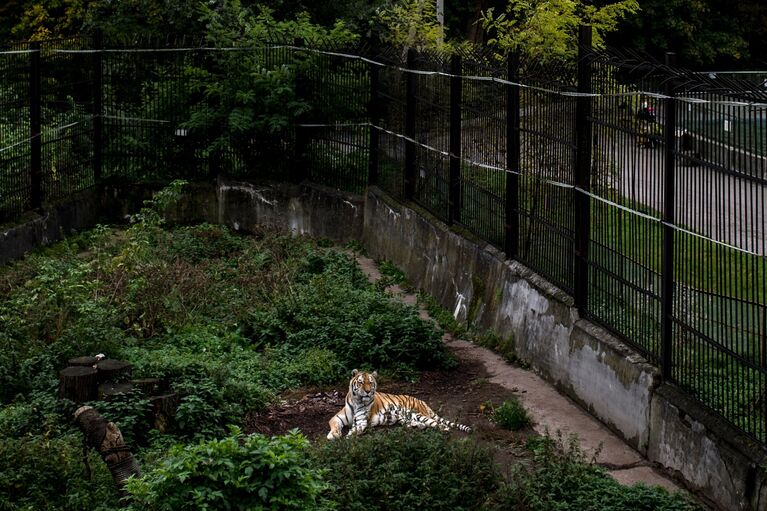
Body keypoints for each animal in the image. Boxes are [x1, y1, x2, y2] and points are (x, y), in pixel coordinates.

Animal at [326, 370, 472, 442]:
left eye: (371, 383)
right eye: (361, 382)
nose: (367, 391)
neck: (358, 401)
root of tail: (423, 402)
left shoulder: (361, 422)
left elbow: (354, 430)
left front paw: (348, 437)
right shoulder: (337, 417)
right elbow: (333, 424)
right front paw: (334, 434)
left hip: (418, 414)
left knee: (441, 425)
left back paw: (444, 432)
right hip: (405, 417)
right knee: (420, 424)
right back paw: (415, 426)